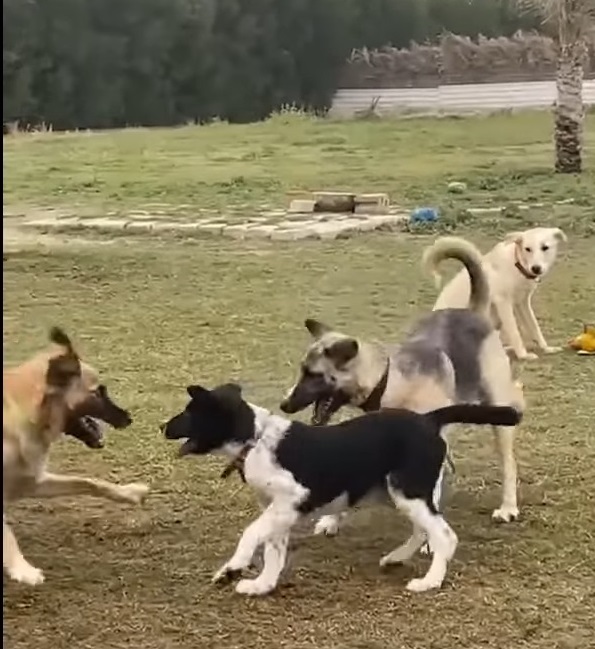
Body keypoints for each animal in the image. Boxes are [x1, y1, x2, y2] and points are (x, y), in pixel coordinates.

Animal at [3, 326, 148, 584]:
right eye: (97, 392)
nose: (129, 417)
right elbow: (7, 534)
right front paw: (23, 569)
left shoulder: (30, 481)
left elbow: (89, 482)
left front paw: (130, 492)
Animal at [162, 380, 520, 596]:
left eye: (190, 412)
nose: (162, 426)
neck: (257, 440)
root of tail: (429, 419)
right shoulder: (276, 511)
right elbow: (274, 550)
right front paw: (262, 585)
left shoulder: (292, 500)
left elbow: (251, 534)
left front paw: (234, 567)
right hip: (398, 494)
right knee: (424, 530)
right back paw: (396, 557)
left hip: (406, 491)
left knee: (444, 535)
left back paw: (429, 581)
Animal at [282, 235, 524, 536]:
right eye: (302, 370)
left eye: (312, 374)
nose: (284, 404)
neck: (390, 382)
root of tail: (470, 311)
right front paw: (331, 520)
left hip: (498, 409)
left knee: (508, 464)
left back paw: (508, 507)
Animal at [428, 227, 568, 360]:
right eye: (527, 249)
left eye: (545, 247)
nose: (536, 268)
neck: (517, 264)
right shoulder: (503, 302)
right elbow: (515, 333)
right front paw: (523, 355)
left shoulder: (522, 303)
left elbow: (534, 327)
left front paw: (547, 348)